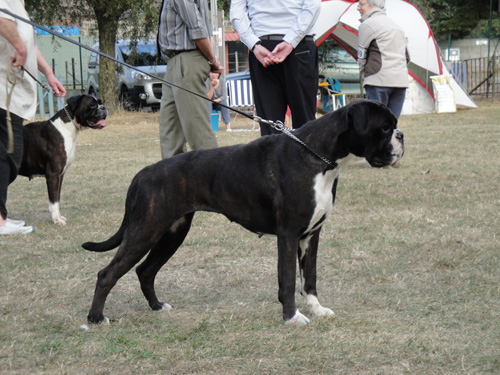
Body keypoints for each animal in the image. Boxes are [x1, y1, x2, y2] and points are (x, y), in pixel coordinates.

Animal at [19, 95, 106, 225]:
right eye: (92, 105)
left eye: (100, 102)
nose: (104, 108)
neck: (67, 127)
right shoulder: (53, 175)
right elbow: (54, 201)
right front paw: (56, 220)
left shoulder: (60, 175)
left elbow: (57, 199)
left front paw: (59, 217)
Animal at [81, 100, 402, 326]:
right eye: (385, 127)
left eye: (393, 126)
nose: (401, 135)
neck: (318, 157)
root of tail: (142, 173)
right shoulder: (288, 235)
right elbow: (288, 280)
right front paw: (292, 318)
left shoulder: (311, 236)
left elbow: (308, 278)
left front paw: (316, 309)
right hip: (145, 231)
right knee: (107, 274)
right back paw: (96, 318)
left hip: (171, 233)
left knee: (145, 271)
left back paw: (157, 307)